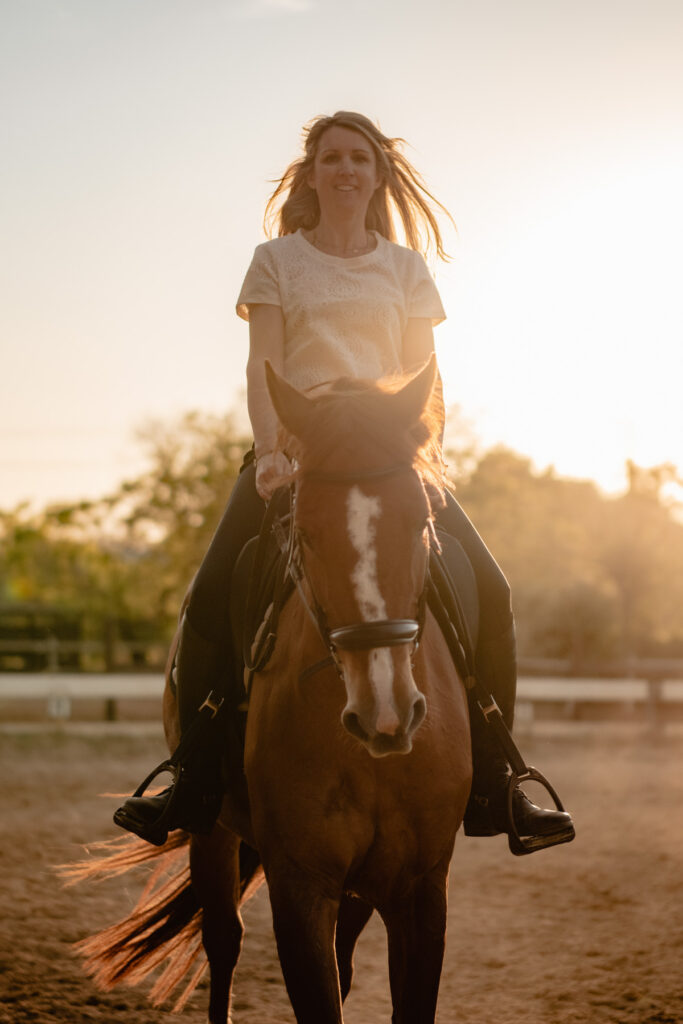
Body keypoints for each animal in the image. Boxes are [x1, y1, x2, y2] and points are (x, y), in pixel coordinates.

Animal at [67, 355, 472, 1024]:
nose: (385, 713)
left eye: (422, 522)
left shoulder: (419, 890)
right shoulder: (299, 884)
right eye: (303, 532)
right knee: (223, 939)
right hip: (211, 830)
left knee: (341, 958)